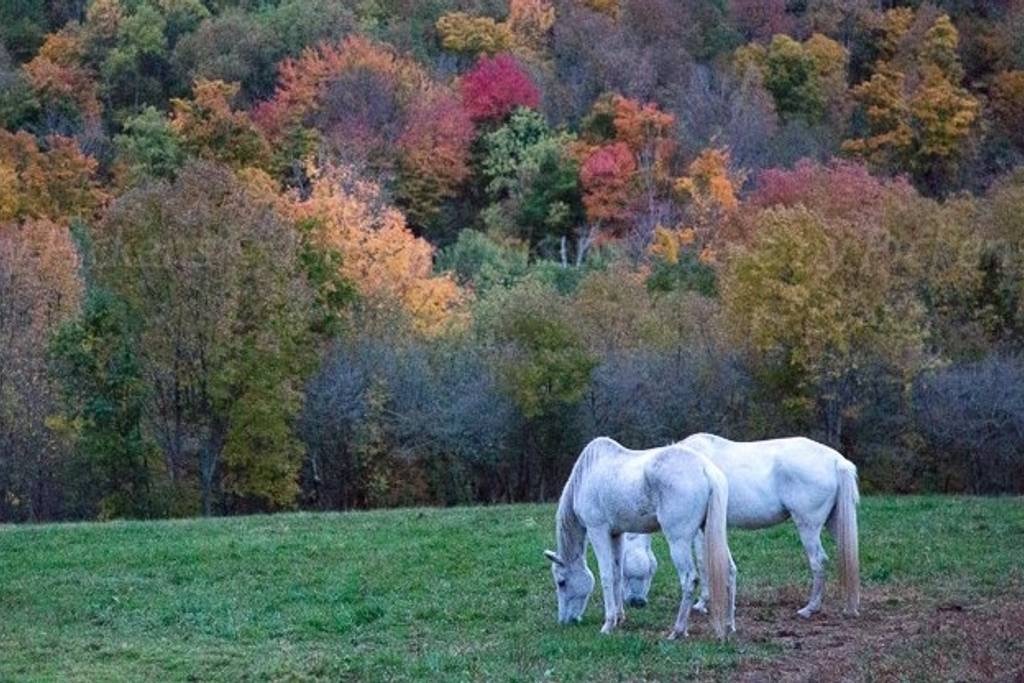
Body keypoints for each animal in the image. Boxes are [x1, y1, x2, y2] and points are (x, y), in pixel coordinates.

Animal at [543, 437, 736, 639]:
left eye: (561, 582)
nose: (564, 621)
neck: (586, 474)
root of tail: (706, 469)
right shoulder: (616, 534)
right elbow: (617, 574)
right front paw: (619, 617)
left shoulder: (598, 531)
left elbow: (606, 575)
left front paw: (608, 623)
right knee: (729, 571)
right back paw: (729, 625)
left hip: (679, 541)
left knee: (689, 580)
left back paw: (677, 630)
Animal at [622, 433, 860, 619]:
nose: (635, 602)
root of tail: (837, 461)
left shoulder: (699, 531)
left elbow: (702, 561)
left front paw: (702, 603)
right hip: (834, 523)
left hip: (808, 526)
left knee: (818, 562)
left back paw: (810, 609)